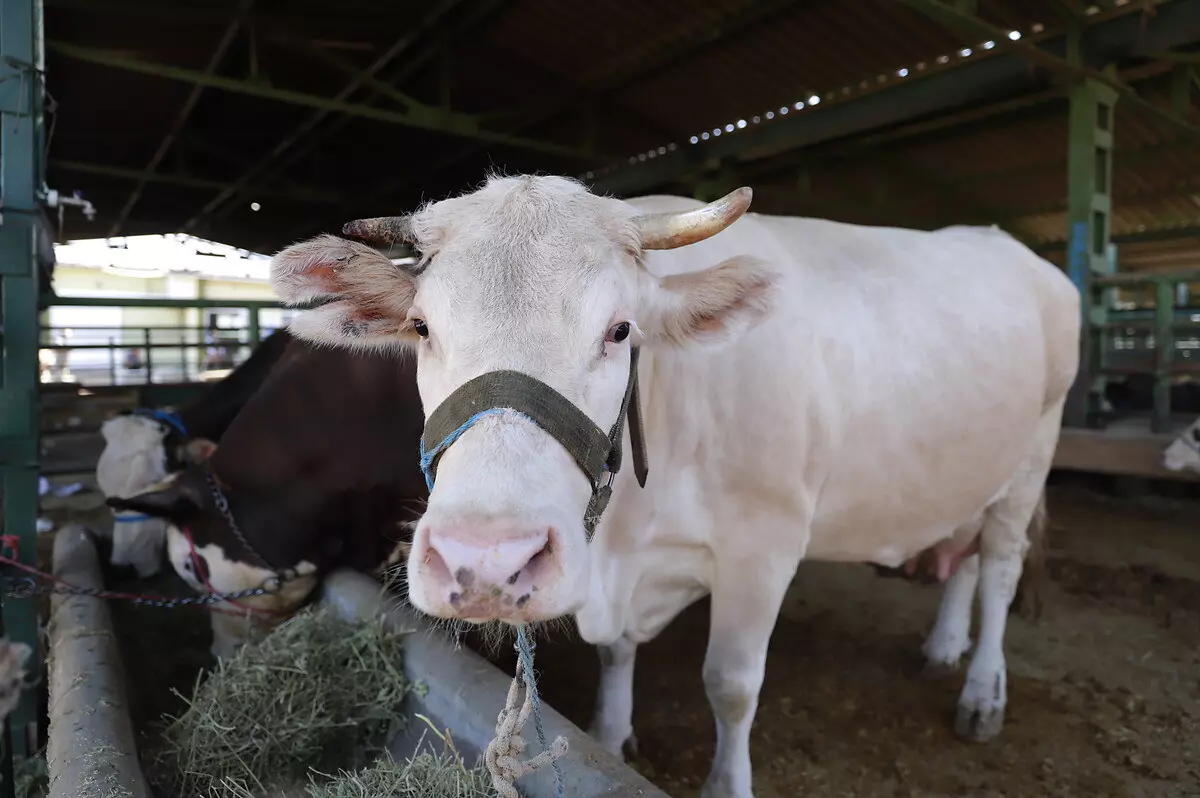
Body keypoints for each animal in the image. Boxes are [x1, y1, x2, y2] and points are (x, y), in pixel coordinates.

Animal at [270, 176, 1080, 796]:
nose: (488, 559)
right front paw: (610, 732)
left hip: (1031, 458)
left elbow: (731, 683)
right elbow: (615, 653)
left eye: (621, 330)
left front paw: (726, 784)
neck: (629, 535)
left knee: (998, 569)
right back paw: (943, 646)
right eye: (421, 327)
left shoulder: (764, 547)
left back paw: (981, 691)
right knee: (964, 556)